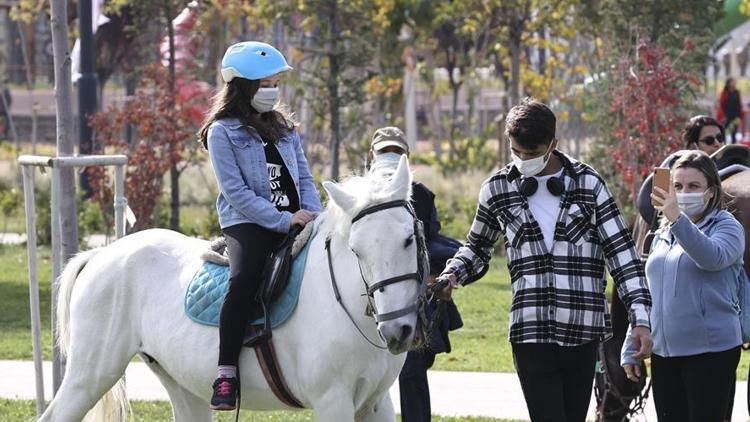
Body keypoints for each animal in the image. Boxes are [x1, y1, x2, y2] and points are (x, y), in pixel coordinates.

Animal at [41, 156, 426, 422]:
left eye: (409, 239)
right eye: (357, 250)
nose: (397, 330)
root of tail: (101, 254)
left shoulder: (376, 403)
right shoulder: (332, 402)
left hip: (181, 385)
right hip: (90, 375)